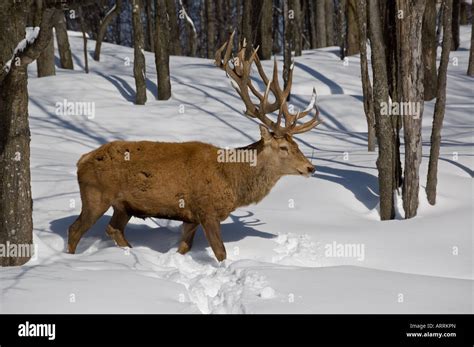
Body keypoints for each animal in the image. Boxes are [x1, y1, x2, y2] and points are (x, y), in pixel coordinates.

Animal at [67, 32, 322, 262]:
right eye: (283, 147)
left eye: (297, 144)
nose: (311, 168)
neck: (232, 179)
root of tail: (81, 160)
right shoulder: (206, 210)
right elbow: (221, 252)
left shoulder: (190, 217)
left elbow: (184, 248)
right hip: (95, 194)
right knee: (75, 229)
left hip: (124, 206)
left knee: (114, 229)